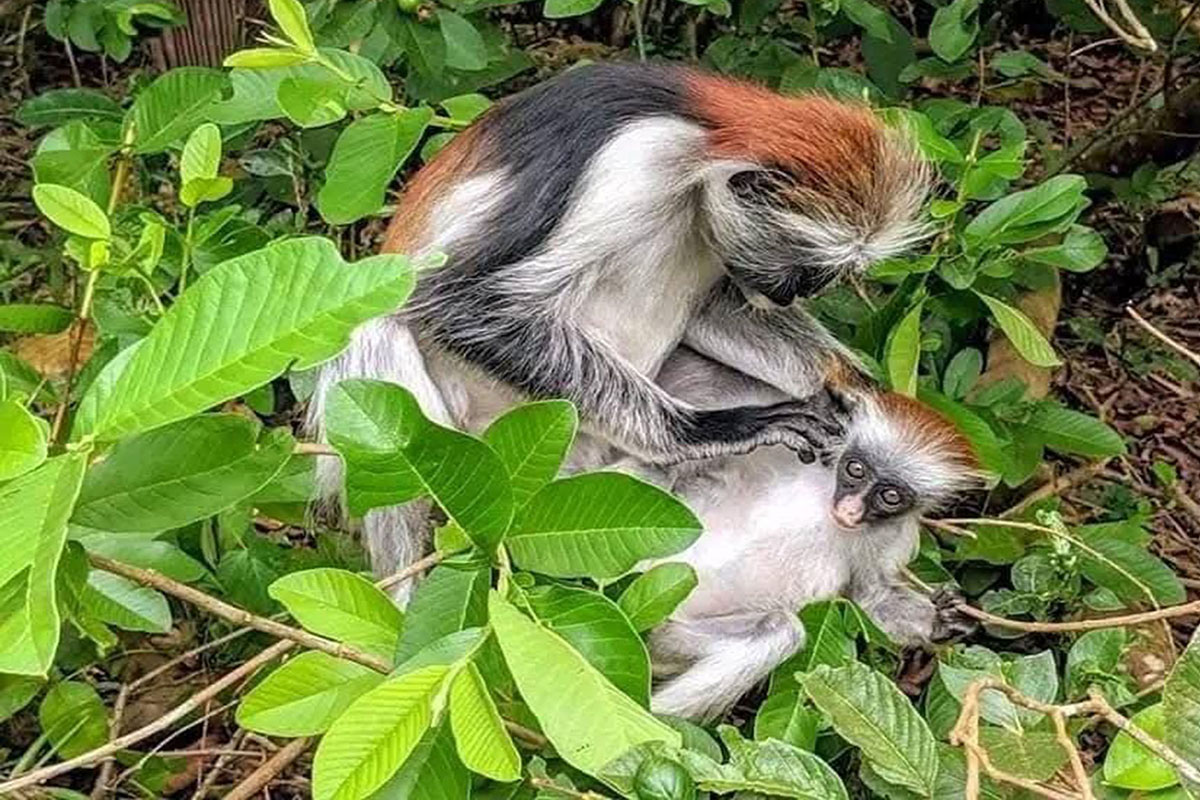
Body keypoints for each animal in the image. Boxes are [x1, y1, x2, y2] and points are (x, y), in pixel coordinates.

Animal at [308, 62, 931, 584]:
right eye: (809, 270)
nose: (791, 294)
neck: (701, 131)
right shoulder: (633, 161)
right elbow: (460, 304)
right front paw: (704, 431)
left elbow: (715, 308)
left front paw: (851, 387)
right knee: (376, 330)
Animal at [637, 348, 979, 722]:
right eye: (856, 469)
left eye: (890, 496)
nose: (850, 511)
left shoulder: (892, 536)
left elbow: (871, 599)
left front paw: (942, 621)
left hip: (662, 635)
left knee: (779, 630)